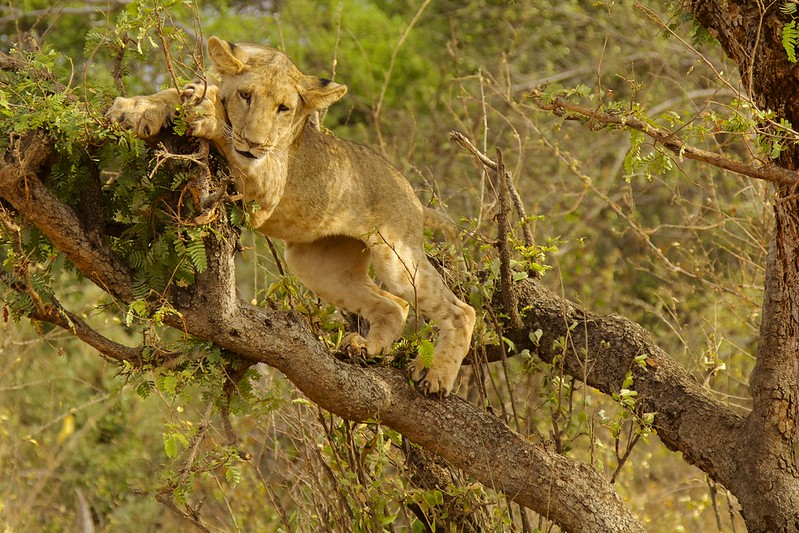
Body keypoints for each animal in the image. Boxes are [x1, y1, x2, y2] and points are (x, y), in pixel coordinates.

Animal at [109, 36, 478, 394]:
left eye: (283, 108)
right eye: (246, 95)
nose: (254, 142)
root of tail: (412, 194)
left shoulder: (267, 186)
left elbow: (229, 135)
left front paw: (208, 111)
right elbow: (177, 93)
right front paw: (136, 109)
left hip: (396, 254)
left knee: (460, 310)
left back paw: (434, 376)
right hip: (319, 267)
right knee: (395, 305)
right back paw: (366, 348)